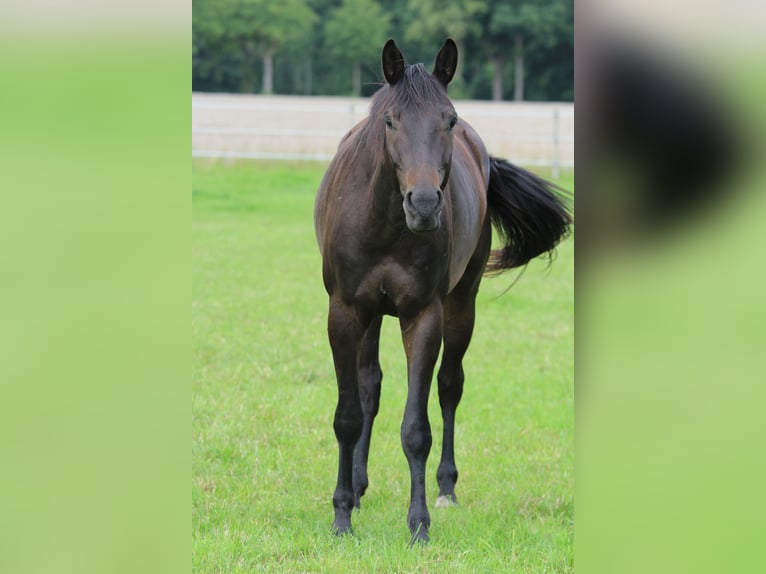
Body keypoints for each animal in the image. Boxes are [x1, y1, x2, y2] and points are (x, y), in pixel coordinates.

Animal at [314, 38, 572, 544]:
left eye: (448, 120)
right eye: (390, 121)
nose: (424, 203)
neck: (385, 225)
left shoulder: (423, 315)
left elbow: (417, 428)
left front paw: (418, 525)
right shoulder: (345, 312)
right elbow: (348, 415)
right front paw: (342, 516)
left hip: (461, 303)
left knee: (450, 385)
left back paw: (446, 489)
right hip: (372, 315)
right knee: (369, 386)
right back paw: (359, 486)